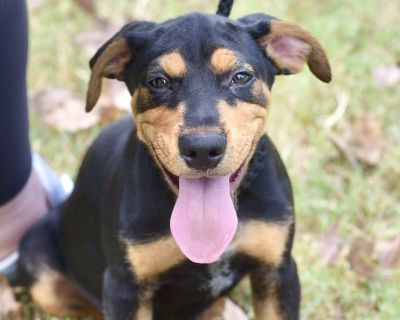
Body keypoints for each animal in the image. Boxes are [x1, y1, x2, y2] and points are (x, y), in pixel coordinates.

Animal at [17, 1, 332, 318]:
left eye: (241, 77)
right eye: (158, 82)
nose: (203, 149)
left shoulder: (278, 270)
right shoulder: (124, 287)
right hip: (39, 267)